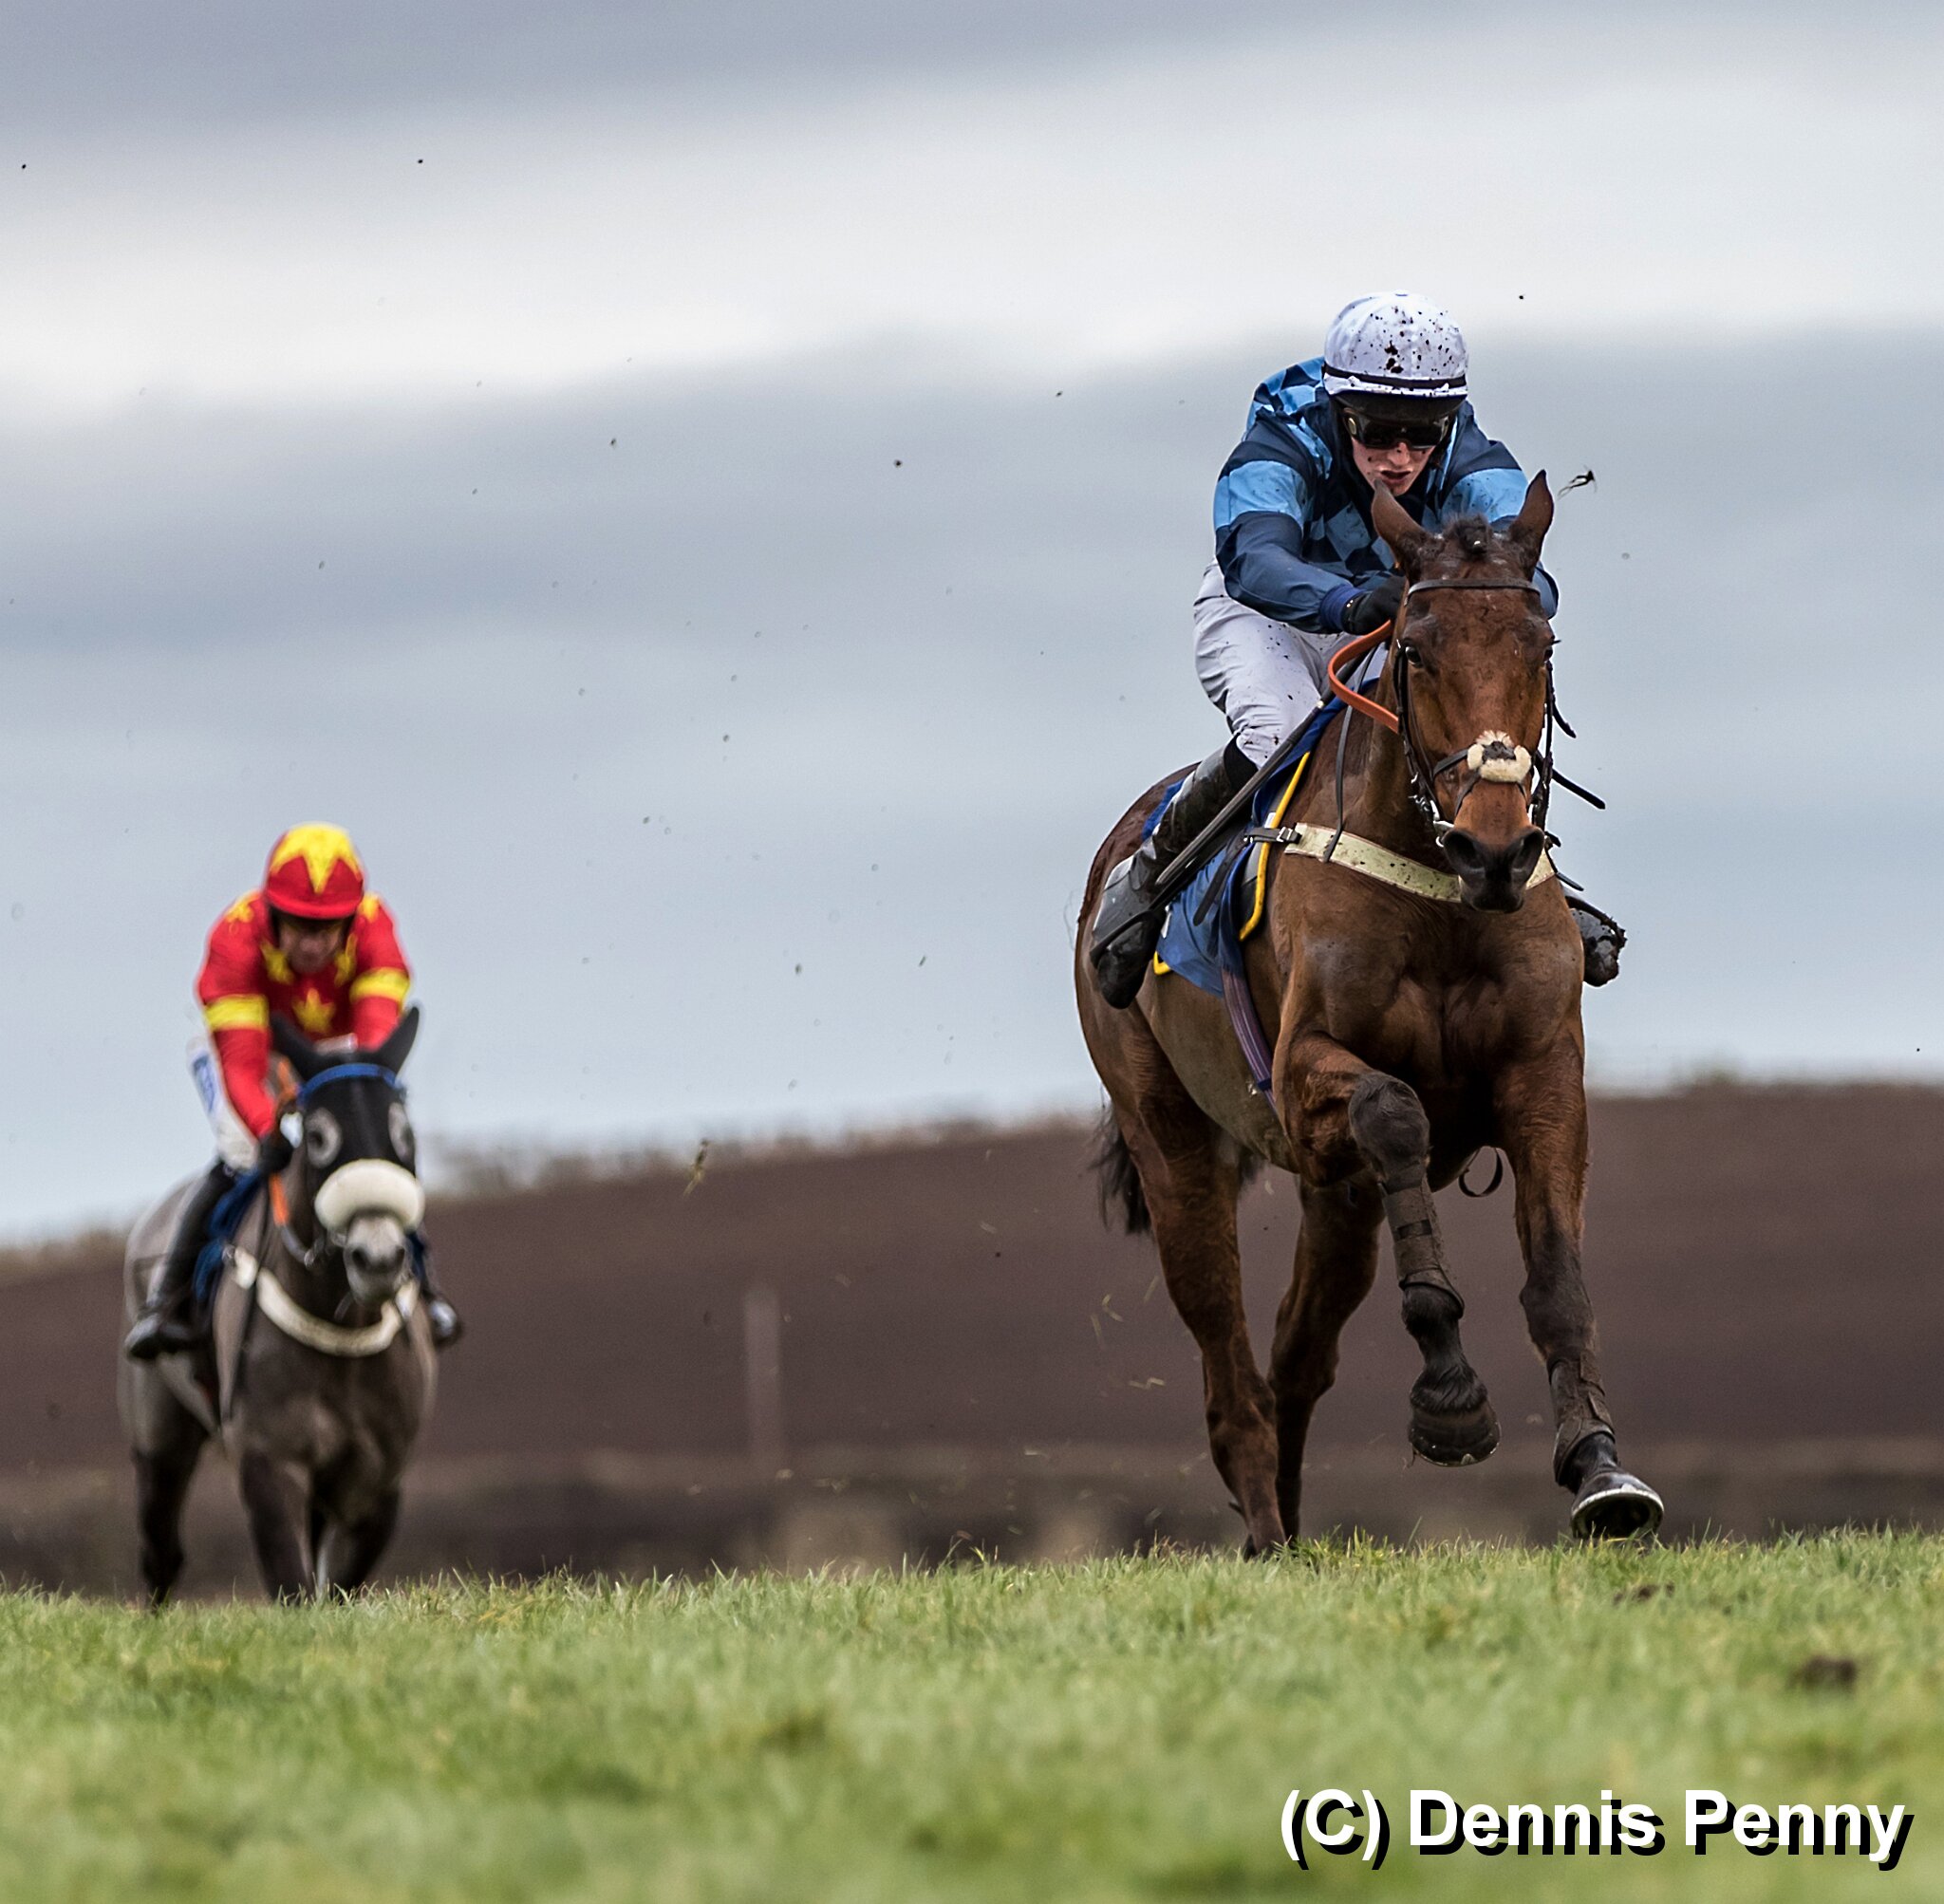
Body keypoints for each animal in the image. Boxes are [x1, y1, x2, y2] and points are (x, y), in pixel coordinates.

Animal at [118, 1007, 437, 1603]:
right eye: (317, 1136)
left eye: (405, 1132)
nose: (378, 1257)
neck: (342, 1331)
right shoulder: (269, 1462)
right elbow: (293, 1582)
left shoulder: (378, 1480)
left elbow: (336, 1584)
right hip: (158, 1437)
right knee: (160, 1552)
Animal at [1075, 475, 1662, 1551]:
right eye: (1416, 647)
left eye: (1540, 644)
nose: (1494, 849)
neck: (1443, 895)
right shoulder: (1306, 1076)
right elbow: (1394, 1109)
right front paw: (1450, 1400)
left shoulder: (1542, 1073)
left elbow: (1558, 1279)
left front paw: (1601, 1469)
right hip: (1171, 1143)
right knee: (1228, 1365)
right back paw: (1266, 1532)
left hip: (1333, 1196)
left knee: (1293, 1355)